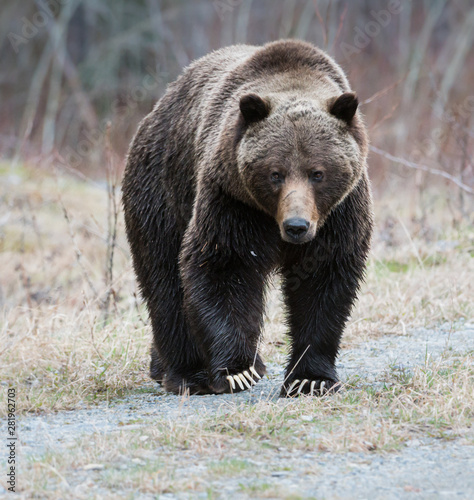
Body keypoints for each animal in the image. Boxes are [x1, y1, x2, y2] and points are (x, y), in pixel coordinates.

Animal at [122, 39, 374, 396]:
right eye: (275, 173)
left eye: (317, 173)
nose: (296, 226)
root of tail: (153, 115)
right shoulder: (232, 201)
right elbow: (224, 266)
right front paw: (237, 370)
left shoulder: (339, 213)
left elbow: (324, 280)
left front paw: (310, 378)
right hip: (162, 191)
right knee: (164, 279)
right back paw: (187, 373)